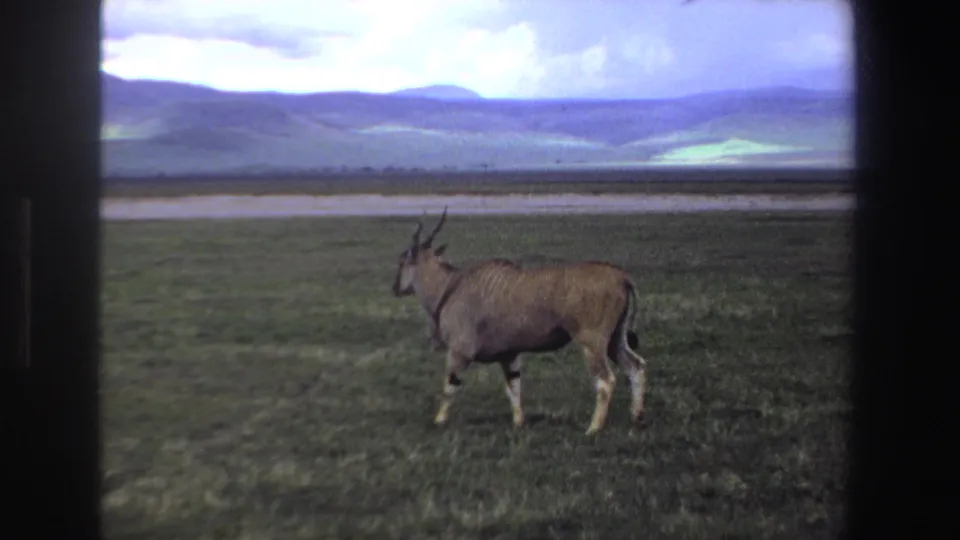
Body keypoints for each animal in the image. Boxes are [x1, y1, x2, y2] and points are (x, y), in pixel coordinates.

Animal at [391, 208, 649, 435]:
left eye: (402, 261)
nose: (396, 288)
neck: (450, 285)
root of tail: (621, 276)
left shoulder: (459, 352)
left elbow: (450, 387)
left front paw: (439, 420)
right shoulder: (509, 356)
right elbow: (513, 388)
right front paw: (518, 423)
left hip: (592, 344)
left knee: (606, 381)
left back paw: (593, 428)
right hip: (615, 341)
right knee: (635, 367)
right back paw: (636, 417)